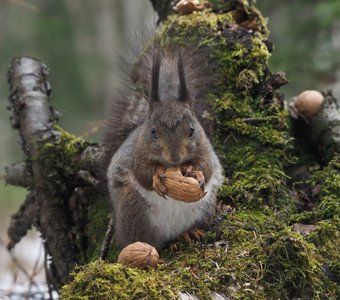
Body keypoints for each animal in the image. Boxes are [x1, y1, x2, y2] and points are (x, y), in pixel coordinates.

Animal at [105, 44, 224, 251]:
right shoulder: (137, 153)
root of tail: (169, 234)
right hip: (132, 206)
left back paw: (189, 232)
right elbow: (142, 172)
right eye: (153, 132)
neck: (173, 166)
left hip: (205, 207)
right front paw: (157, 176)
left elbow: (207, 167)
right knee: (144, 239)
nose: (175, 157)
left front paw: (196, 172)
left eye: (192, 130)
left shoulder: (206, 149)